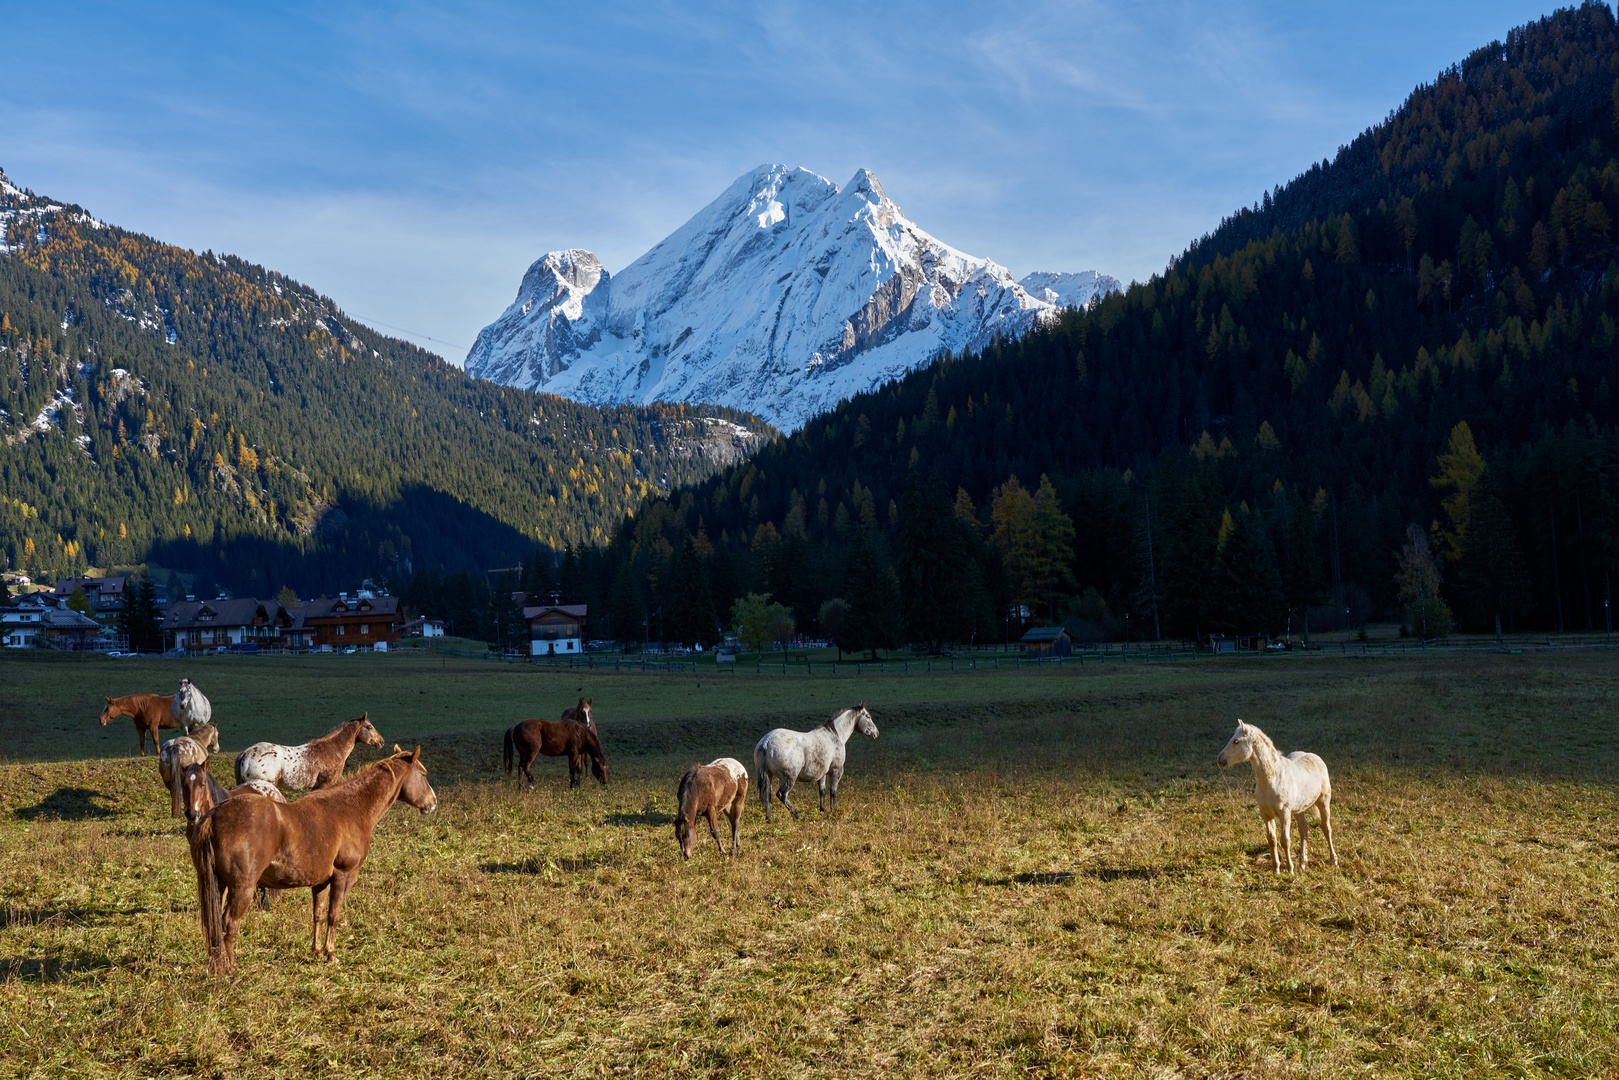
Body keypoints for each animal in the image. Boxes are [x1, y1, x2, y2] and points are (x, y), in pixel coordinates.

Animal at [189, 748, 437, 977]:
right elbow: (334, 915)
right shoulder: (343, 876)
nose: (433, 803)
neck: (351, 807)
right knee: (229, 924)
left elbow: (318, 915)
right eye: (423, 774)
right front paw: (331, 954)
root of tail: (215, 814)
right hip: (243, 888)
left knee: (214, 926)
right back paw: (231, 968)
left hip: (220, 886)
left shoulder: (321, 883)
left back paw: (218, 965)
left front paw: (317, 951)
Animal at [1217, 718, 1340, 880]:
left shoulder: (1284, 813)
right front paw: (1276, 869)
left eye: (1236, 741)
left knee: (1326, 828)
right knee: (1304, 830)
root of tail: (1316, 757)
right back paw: (1302, 864)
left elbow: (1285, 840)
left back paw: (1334, 861)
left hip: (1323, 801)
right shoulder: (1266, 814)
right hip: (1299, 809)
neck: (1272, 779)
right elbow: (1272, 839)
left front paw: (1290, 869)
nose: (1220, 759)